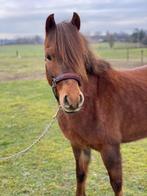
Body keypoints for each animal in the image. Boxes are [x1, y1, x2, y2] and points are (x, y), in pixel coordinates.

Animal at [44, 12, 147, 196]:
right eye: (48, 56)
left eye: (81, 55)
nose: (73, 100)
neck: (93, 103)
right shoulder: (79, 146)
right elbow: (81, 177)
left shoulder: (111, 150)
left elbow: (117, 185)